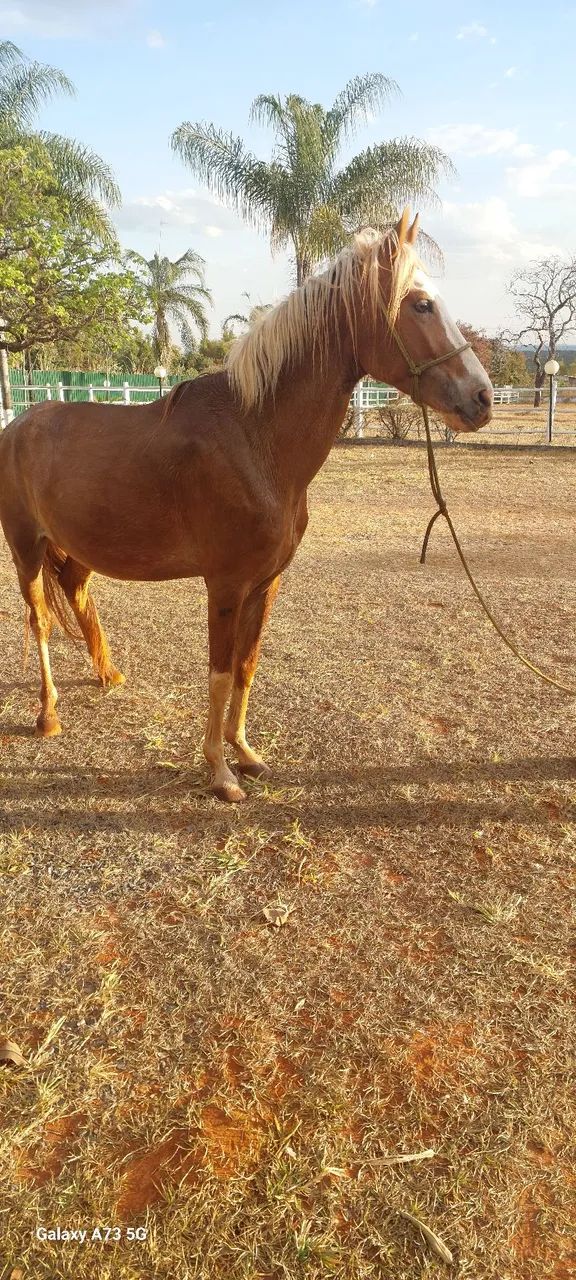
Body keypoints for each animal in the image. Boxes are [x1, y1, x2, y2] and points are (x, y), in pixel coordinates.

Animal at [0, 211, 493, 802]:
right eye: (420, 303)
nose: (483, 398)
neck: (255, 439)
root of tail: (20, 422)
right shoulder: (226, 585)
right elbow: (218, 673)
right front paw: (219, 772)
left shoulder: (266, 583)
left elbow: (246, 667)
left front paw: (245, 753)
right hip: (26, 549)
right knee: (41, 621)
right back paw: (49, 714)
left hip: (78, 548)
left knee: (75, 593)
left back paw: (107, 673)